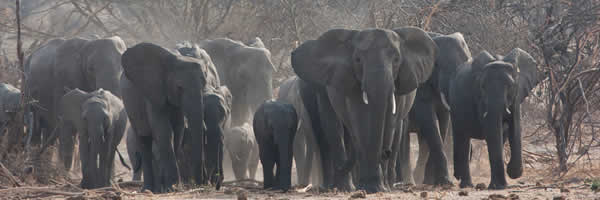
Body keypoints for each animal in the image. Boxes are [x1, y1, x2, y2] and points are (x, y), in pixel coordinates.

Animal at [25, 36, 126, 170]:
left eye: (123, 68)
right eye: (90, 68)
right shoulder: (63, 79)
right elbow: (66, 125)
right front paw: (65, 171)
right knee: (36, 123)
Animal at [120, 41, 214, 192]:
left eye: (204, 85)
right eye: (179, 87)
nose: (202, 183)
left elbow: (178, 131)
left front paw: (171, 186)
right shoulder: (153, 91)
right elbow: (164, 131)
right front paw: (173, 187)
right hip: (129, 104)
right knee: (143, 140)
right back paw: (149, 189)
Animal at [292, 26, 436, 192]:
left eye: (396, 60)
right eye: (358, 60)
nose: (385, 152)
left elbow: (390, 124)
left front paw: (379, 187)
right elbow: (358, 120)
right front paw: (370, 187)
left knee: (396, 129)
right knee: (335, 127)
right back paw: (346, 187)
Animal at [394, 32, 474, 185]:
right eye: (438, 66)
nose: (457, 176)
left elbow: (442, 122)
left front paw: (434, 182)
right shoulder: (420, 84)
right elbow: (429, 120)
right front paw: (445, 182)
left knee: (422, 140)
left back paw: (419, 179)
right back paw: (407, 181)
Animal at [448, 47, 540, 188]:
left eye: (510, 86)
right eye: (482, 86)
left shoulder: (517, 95)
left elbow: (515, 128)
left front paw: (512, 173)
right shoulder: (480, 97)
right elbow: (491, 129)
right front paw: (499, 185)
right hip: (455, 107)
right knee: (463, 139)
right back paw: (467, 185)